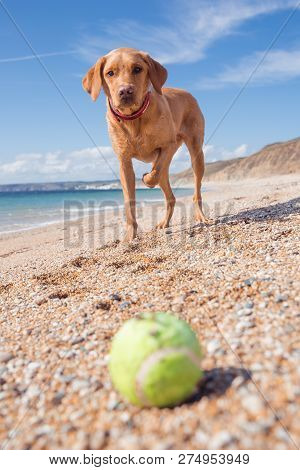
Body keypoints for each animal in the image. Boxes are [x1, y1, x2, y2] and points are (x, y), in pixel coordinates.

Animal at [82, 48, 209, 242]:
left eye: (137, 69)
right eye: (110, 73)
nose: (125, 91)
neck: (133, 119)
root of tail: (187, 93)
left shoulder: (168, 145)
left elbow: (152, 175)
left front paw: (146, 178)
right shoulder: (124, 162)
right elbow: (129, 201)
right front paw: (130, 236)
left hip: (196, 153)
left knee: (195, 191)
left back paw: (200, 216)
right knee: (170, 195)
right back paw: (164, 222)